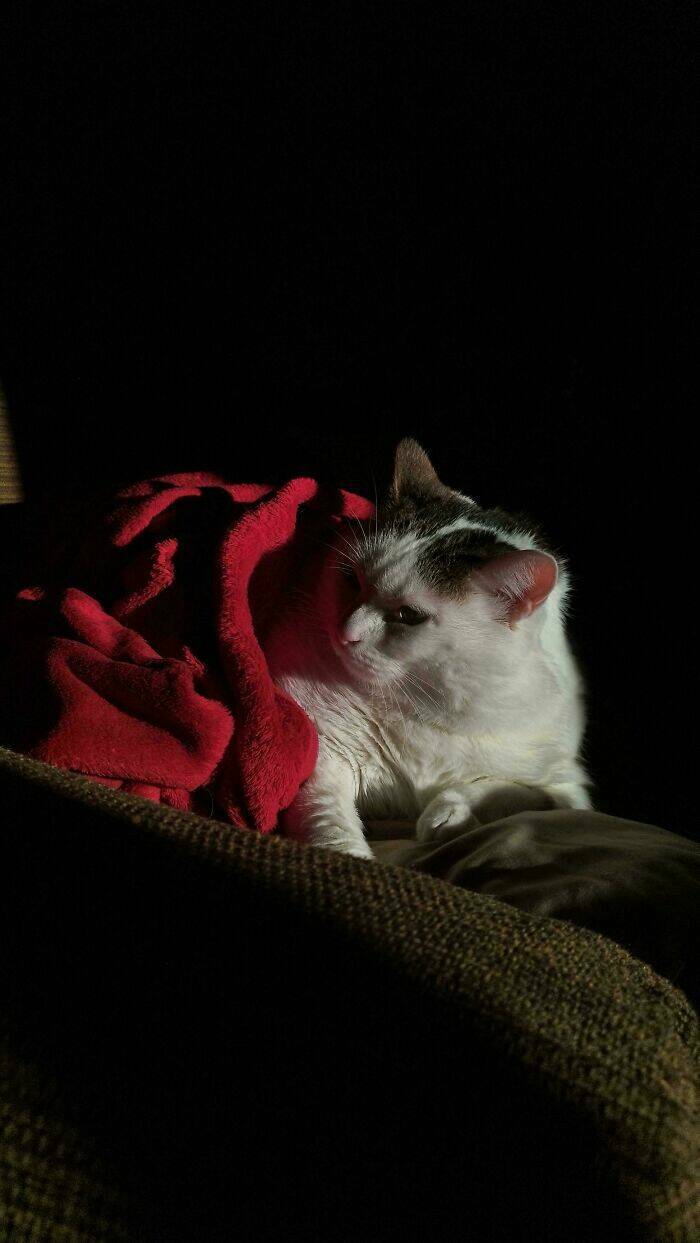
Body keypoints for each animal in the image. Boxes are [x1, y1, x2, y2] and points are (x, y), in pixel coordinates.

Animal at [264, 438, 591, 858]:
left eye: (409, 615)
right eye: (352, 580)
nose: (345, 633)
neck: (430, 697)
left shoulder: (568, 785)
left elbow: (505, 790)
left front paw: (447, 814)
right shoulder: (325, 754)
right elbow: (330, 825)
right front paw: (351, 859)